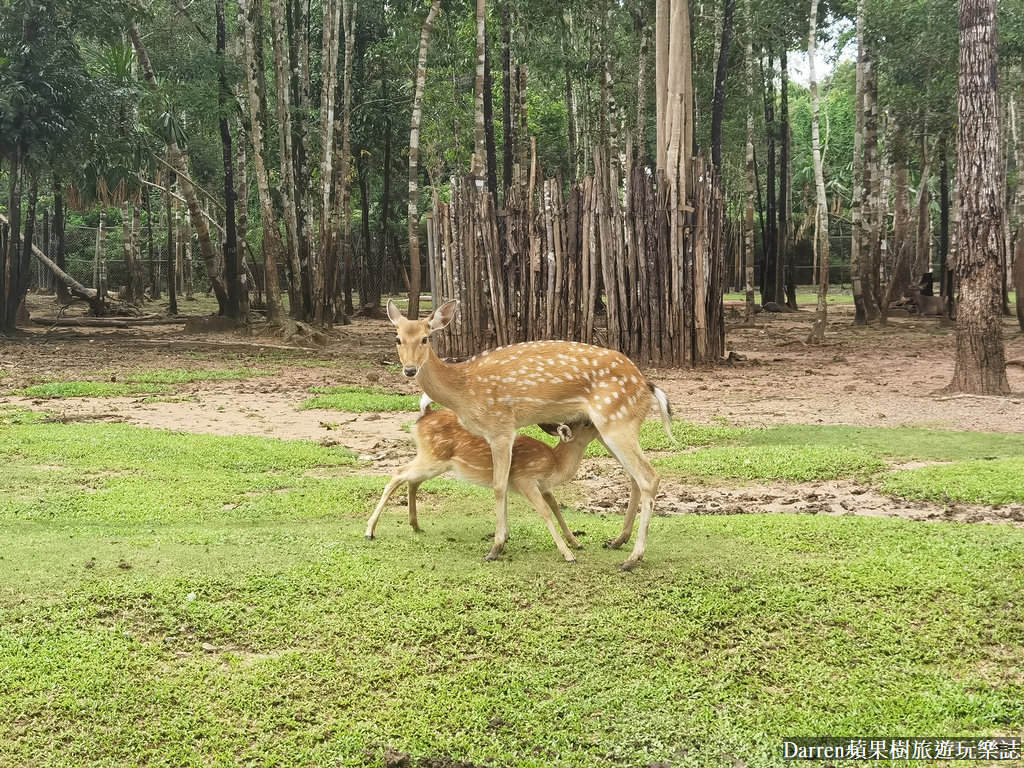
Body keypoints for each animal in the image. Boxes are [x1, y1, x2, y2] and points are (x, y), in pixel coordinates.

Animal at [365, 399, 598, 562]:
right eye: (587, 423)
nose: (599, 422)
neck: (554, 463)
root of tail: (423, 417)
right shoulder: (526, 479)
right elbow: (545, 512)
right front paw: (568, 555)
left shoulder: (543, 486)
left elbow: (556, 509)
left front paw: (576, 543)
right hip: (432, 458)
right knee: (398, 473)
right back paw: (370, 531)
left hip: (434, 461)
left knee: (412, 481)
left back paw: (415, 526)